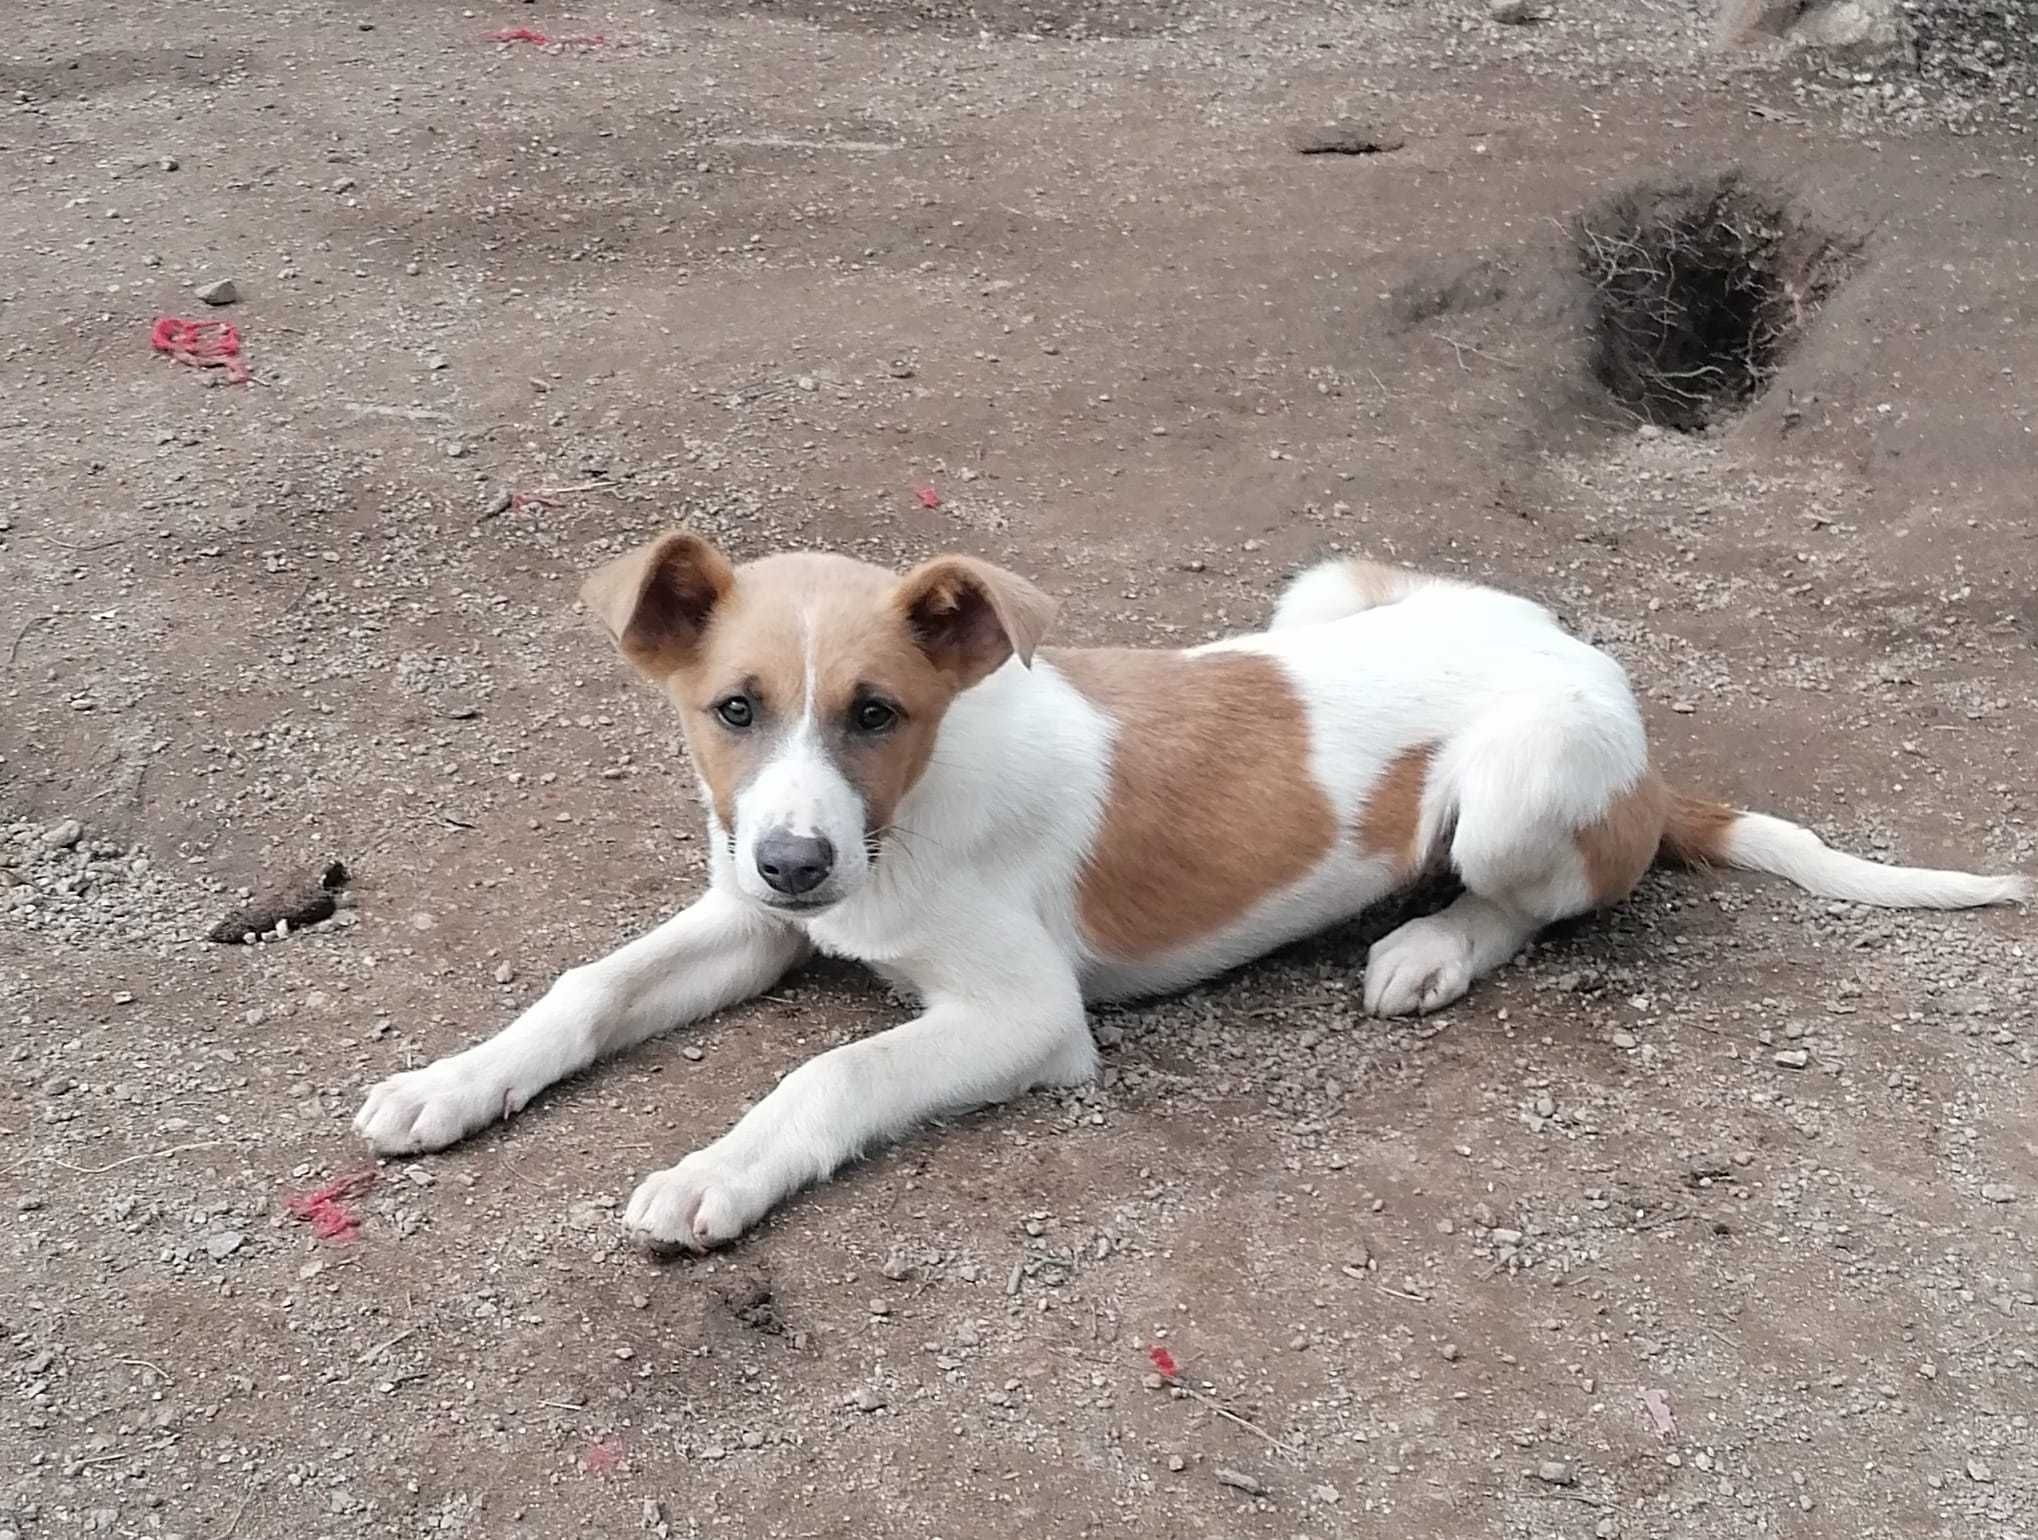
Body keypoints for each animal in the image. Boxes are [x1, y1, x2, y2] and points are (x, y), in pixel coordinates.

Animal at [350, 537, 2021, 1254]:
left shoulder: (1026, 1016)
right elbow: (585, 987)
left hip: (1518, 786)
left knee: (1536, 897)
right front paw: (446, 1084)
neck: (903, 820)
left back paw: (1428, 946)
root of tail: (1589, 668)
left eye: (877, 711)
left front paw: (715, 1176)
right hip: (1324, 587)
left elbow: (832, 1075)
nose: (796, 862)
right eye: (733, 711)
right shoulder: (754, 926)